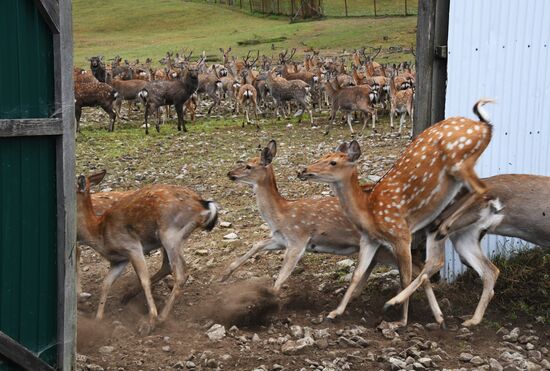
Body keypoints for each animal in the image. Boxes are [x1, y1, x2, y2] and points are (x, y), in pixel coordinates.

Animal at [76, 170, 219, 336]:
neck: (98, 232)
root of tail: (204, 206)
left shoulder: (132, 246)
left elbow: (144, 280)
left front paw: (151, 319)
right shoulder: (119, 260)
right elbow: (106, 283)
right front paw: (98, 320)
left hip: (170, 234)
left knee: (180, 273)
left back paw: (160, 317)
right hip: (173, 238)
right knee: (169, 266)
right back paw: (128, 295)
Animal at [222, 141, 446, 322]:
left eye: (249, 166)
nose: (230, 174)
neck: (281, 214)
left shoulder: (298, 239)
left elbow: (281, 276)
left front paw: (266, 305)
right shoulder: (280, 238)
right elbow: (257, 244)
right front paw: (223, 276)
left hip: (387, 248)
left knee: (418, 268)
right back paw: (436, 316)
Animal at [300, 99, 498, 328]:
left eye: (333, 162)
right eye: (323, 156)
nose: (304, 170)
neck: (368, 211)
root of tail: (485, 127)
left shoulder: (401, 234)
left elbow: (404, 276)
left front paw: (401, 321)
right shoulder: (370, 240)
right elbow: (357, 274)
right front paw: (334, 312)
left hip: (459, 162)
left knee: (482, 191)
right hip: (459, 218)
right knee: (462, 264)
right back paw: (463, 318)